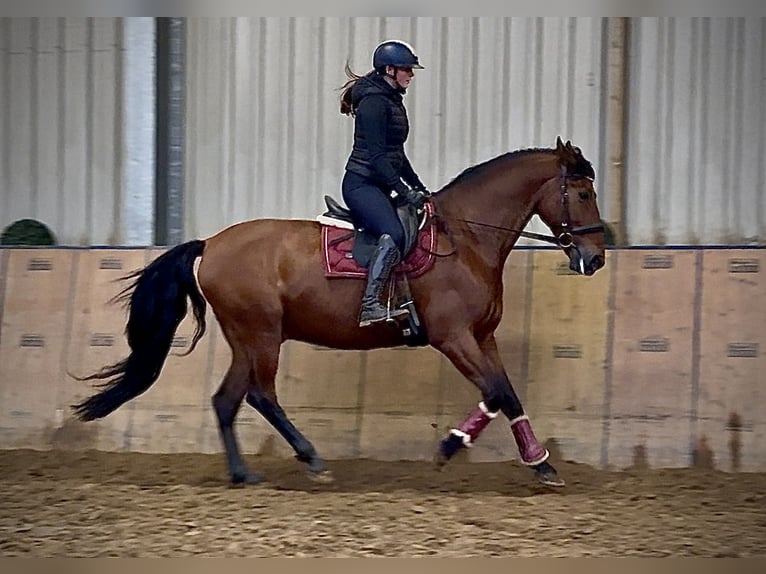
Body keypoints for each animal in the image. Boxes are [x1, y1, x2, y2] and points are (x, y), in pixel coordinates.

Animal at [72, 137, 606, 488]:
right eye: (582, 194)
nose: (596, 259)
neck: (467, 237)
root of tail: (211, 244)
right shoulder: (453, 337)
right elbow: (494, 393)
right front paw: (449, 447)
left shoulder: (483, 336)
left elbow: (508, 395)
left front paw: (541, 463)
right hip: (261, 334)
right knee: (261, 395)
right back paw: (311, 459)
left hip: (248, 338)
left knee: (227, 400)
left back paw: (244, 474)